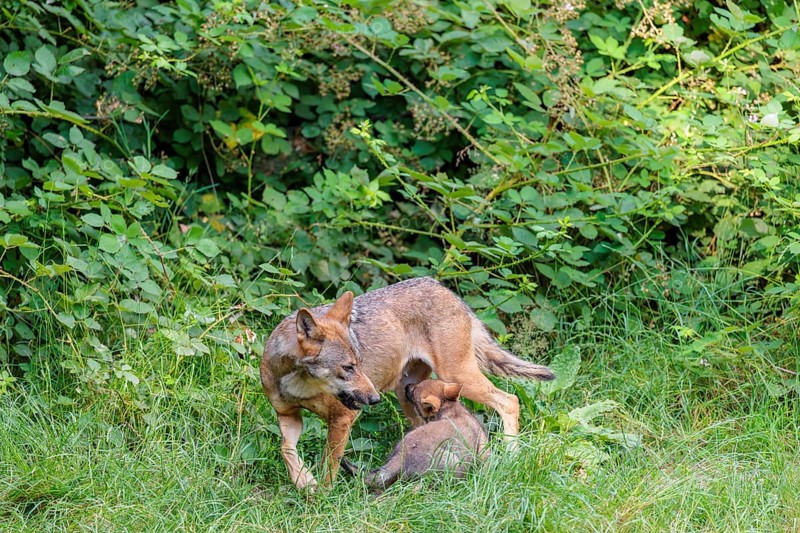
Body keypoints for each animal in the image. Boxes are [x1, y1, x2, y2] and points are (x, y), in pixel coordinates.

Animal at [260, 277, 554, 490]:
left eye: (358, 362)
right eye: (348, 367)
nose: (375, 399)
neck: (300, 385)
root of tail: (446, 289)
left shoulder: (343, 419)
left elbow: (329, 466)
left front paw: (322, 496)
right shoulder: (288, 416)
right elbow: (286, 450)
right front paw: (304, 481)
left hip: (458, 377)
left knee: (510, 401)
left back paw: (512, 456)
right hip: (409, 396)